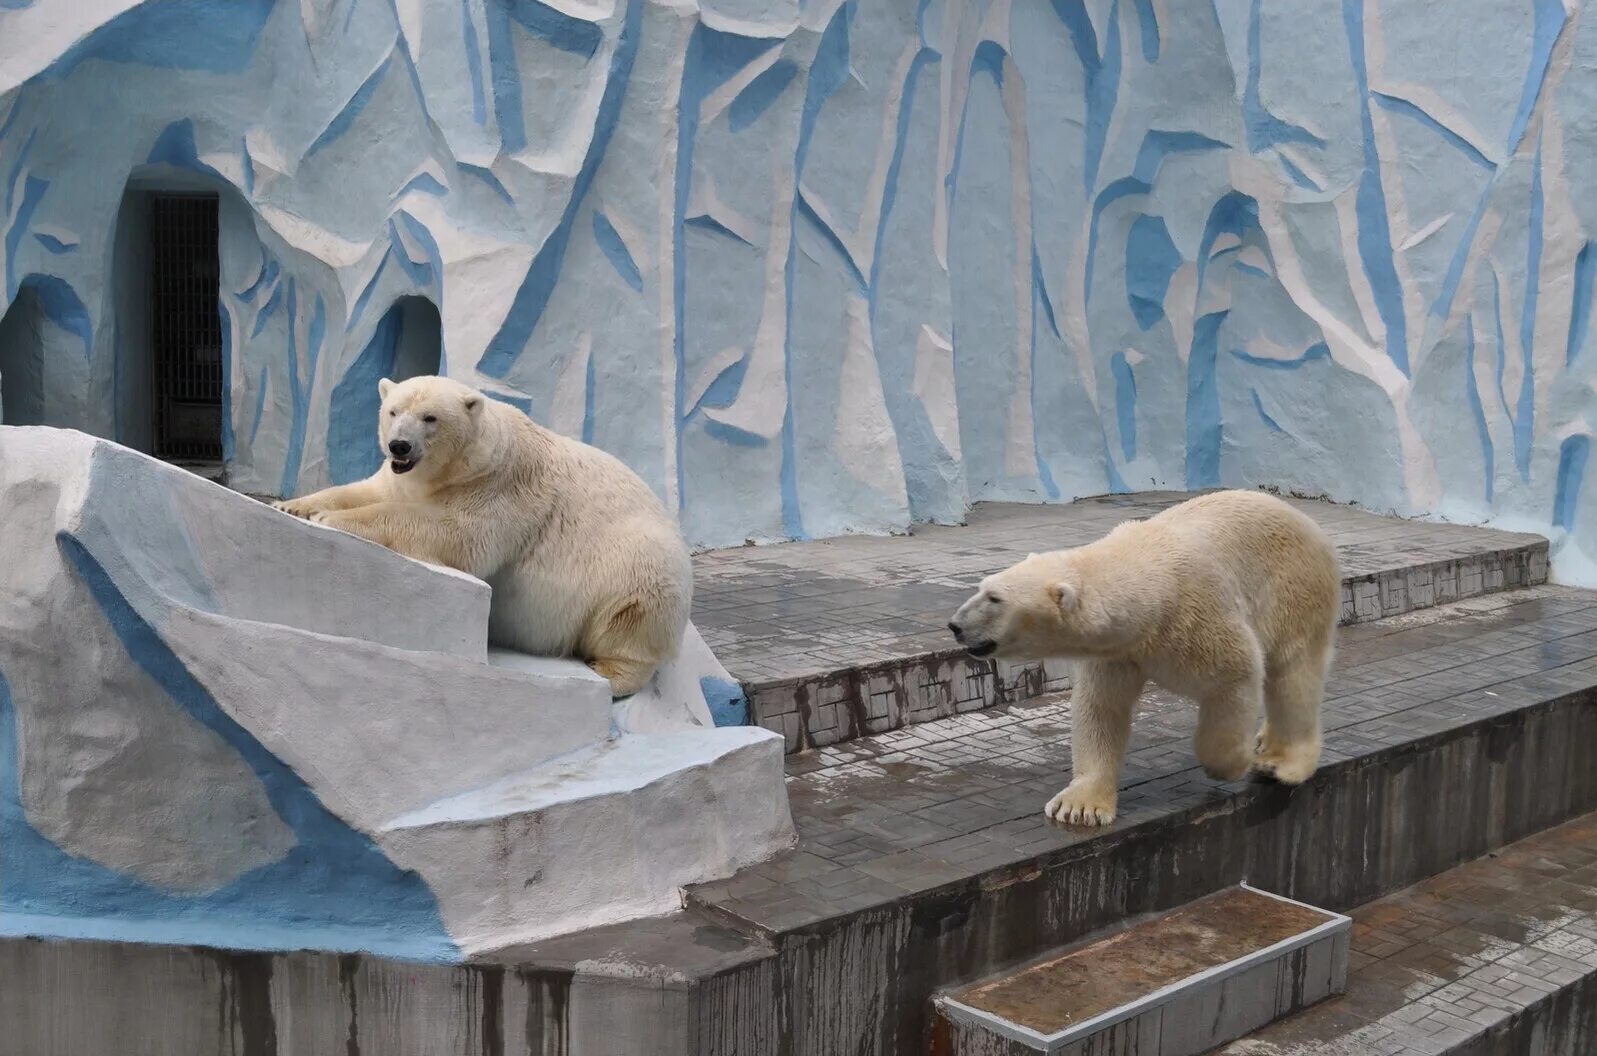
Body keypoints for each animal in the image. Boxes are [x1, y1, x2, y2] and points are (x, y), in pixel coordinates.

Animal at [273, 375, 693, 696]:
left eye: (430, 418)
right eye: (393, 411)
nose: (399, 445)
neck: (459, 468)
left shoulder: (499, 487)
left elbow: (455, 534)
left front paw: (329, 517)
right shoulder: (401, 480)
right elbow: (366, 490)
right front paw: (293, 506)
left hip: (637, 566)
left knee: (632, 620)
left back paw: (608, 673)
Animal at [939, 488, 1341, 830]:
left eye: (995, 599)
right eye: (981, 588)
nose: (956, 625)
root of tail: (1306, 520)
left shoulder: (1199, 621)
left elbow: (1238, 674)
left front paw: (1230, 765)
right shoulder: (1117, 651)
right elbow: (1101, 708)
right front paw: (1079, 806)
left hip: (1295, 590)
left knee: (1294, 675)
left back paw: (1280, 763)